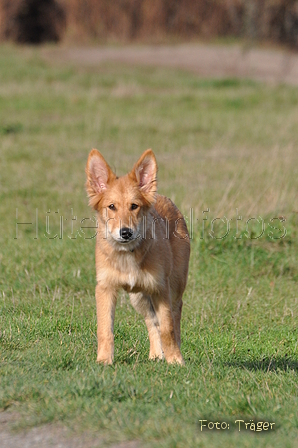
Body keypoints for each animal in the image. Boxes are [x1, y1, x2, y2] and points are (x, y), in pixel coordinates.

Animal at [85, 148, 190, 364]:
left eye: (134, 206)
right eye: (111, 206)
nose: (125, 232)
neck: (128, 254)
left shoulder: (161, 289)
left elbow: (167, 328)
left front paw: (175, 360)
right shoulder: (105, 288)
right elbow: (105, 329)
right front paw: (104, 360)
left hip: (175, 286)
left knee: (175, 315)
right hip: (139, 297)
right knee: (151, 321)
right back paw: (156, 354)